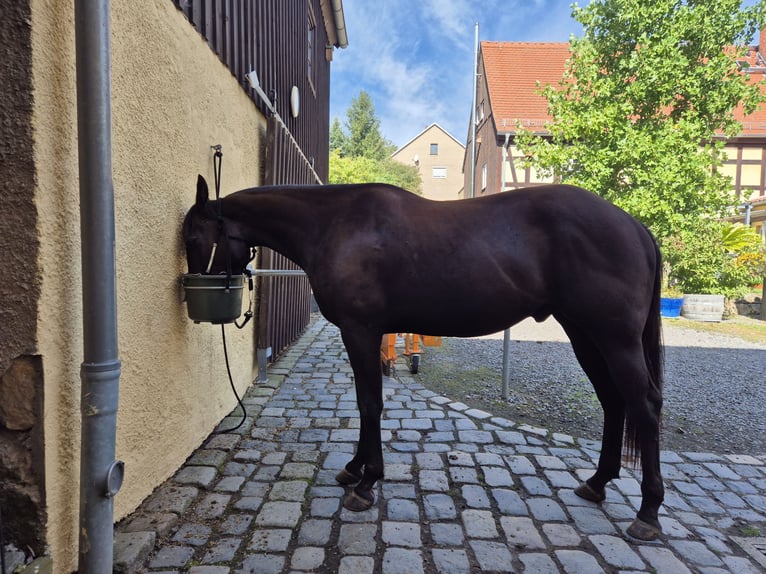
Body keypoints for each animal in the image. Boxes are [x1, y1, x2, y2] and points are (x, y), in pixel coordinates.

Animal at [182, 174, 664, 541]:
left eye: (192, 236)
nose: (194, 299)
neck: (336, 225)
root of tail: (634, 226)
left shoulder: (360, 330)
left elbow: (370, 403)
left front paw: (366, 482)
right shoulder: (365, 333)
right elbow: (365, 402)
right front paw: (355, 469)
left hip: (614, 338)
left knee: (643, 406)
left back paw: (648, 512)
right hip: (585, 334)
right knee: (614, 402)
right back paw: (597, 484)